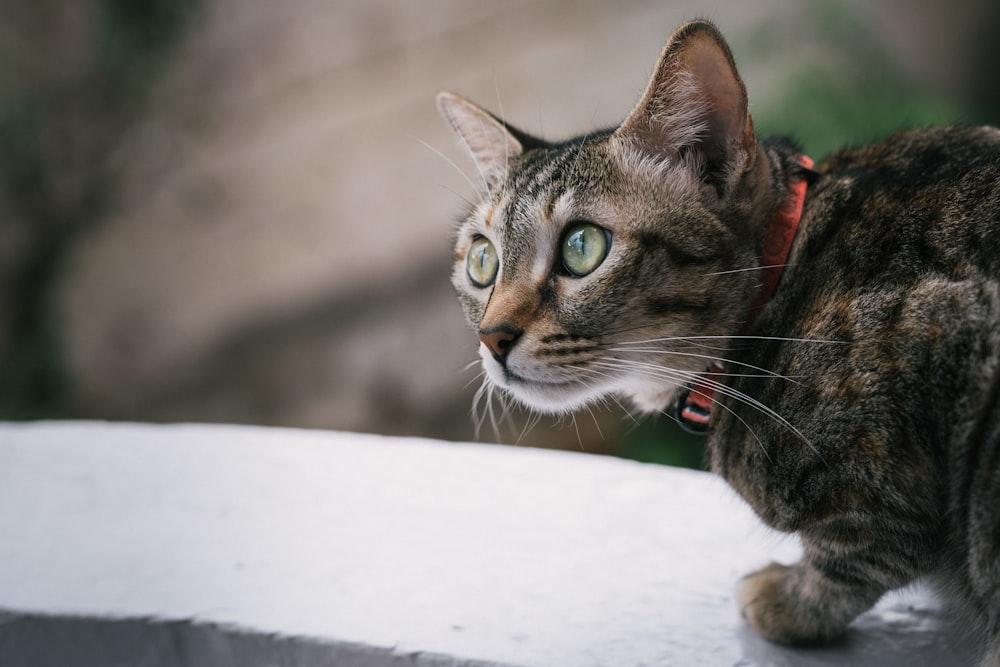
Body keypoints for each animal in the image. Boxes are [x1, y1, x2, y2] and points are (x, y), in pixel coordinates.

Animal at [436, 17, 1000, 664]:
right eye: (482, 260)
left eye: (583, 247)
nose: (492, 338)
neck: (786, 281)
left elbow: (865, 548)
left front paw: (788, 600)